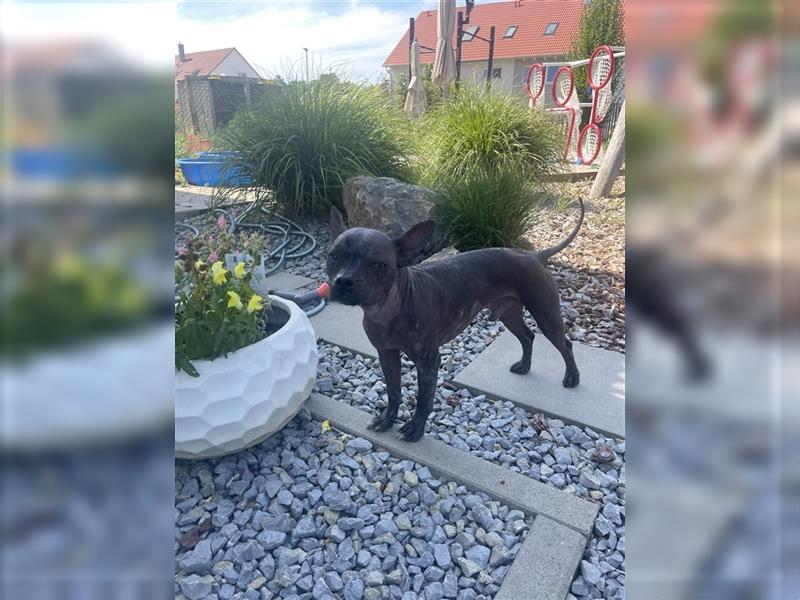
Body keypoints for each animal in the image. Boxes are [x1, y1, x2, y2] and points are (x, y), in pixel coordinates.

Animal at [328, 204, 584, 442]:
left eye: (378, 265)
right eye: (333, 256)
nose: (344, 281)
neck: (386, 310)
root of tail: (533, 256)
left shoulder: (429, 362)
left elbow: (424, 399)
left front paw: (415, 429)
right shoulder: (386, 354)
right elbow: (393, 392)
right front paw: (387, 420)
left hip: (546, 316)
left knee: (565, 345)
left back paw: (572, 377)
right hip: (508, 314)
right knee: (527, 337)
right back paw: (524, 366)